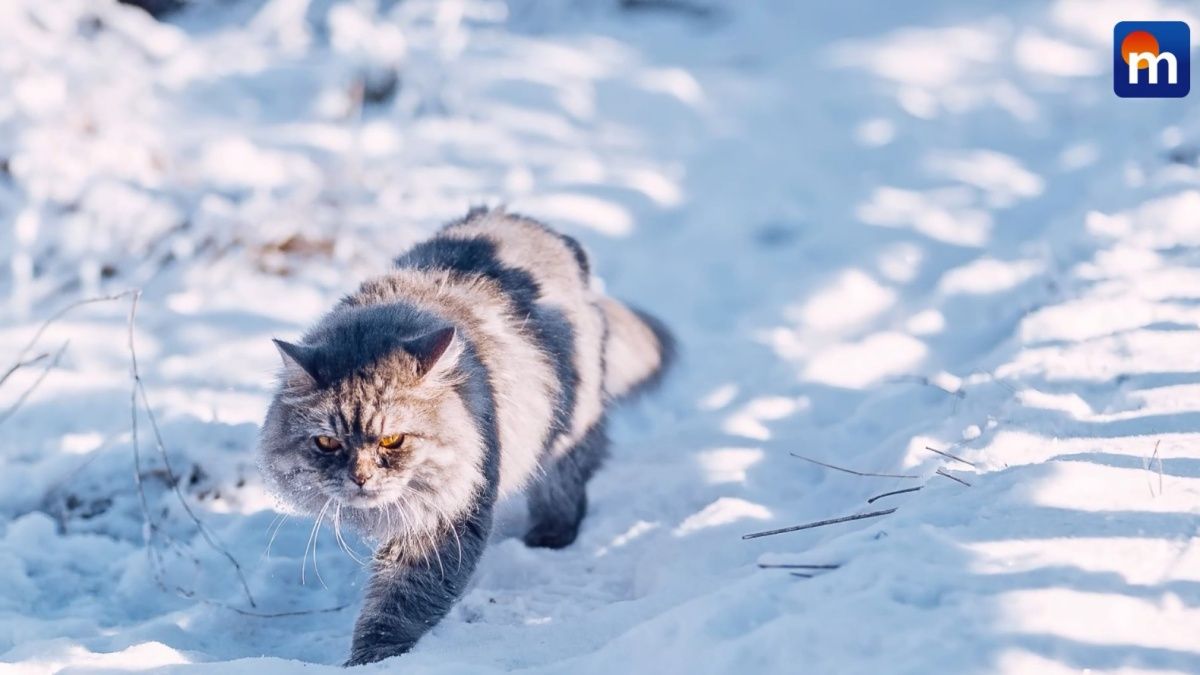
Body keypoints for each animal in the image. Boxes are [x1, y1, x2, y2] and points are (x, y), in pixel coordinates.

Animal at [260, 207, 676, 662]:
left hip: (565, 430)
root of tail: (519, 218)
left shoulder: (446, 520)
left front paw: (372, 660)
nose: (361, 478)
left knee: (567, 487)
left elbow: (396, 607)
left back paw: (550, 535)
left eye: (392, 440)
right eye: (327, 443)